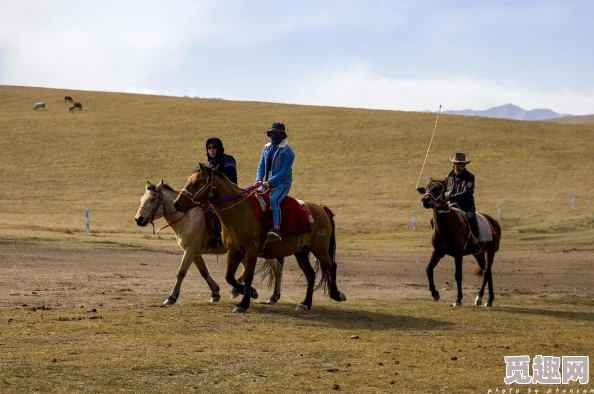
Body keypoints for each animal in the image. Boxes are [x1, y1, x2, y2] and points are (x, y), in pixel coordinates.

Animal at [134, 180, 282, 306]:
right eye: (141, 199)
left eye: (153, 199)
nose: (138, 219)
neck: (187, 217)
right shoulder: (194, 252)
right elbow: (204, 272)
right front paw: (215, 293)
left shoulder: (190, 250)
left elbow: (181, 272)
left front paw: (171, 297)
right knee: (247, 269)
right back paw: (244, 291)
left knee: (276, 268)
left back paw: (273, 296)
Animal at [173, 164, 344, 314]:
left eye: (196, 182)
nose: (176, 204)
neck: (238, 211)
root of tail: (321, 208)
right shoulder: (234, 251)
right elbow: (229, 277)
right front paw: (246, 293)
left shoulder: (251, 251)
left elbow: (248, 276)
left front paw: (243, 303)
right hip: (301, 252)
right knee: (311, 274)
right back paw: (305, 303)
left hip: (319, 249)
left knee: (331, 266)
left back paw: (336, 294)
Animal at [416, 178, 500, 308]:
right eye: (426, 189)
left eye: (438, 189)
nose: (425, 200)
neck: (445, 227)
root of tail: (494, 222)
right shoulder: (438, 252)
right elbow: (428, 269)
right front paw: (435, 294)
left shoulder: (458, 254)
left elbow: (458, 276)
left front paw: (458, 299)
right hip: (478, 253)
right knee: (488, 272)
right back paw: (485, 299)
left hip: (491, 251)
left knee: (486, 272)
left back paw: (484, 299)